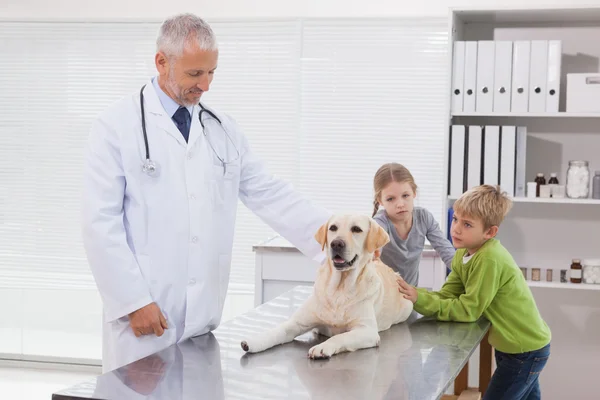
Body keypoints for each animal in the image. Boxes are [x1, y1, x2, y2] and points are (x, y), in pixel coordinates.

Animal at [239, 216, 412, 360]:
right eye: (333, 228)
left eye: (356, 229)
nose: (336, 243)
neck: (339, 288)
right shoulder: (296, 323)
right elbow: (277, 331)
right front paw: (254, 341)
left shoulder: (367, 331)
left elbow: (340, 336)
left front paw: (323, 347)